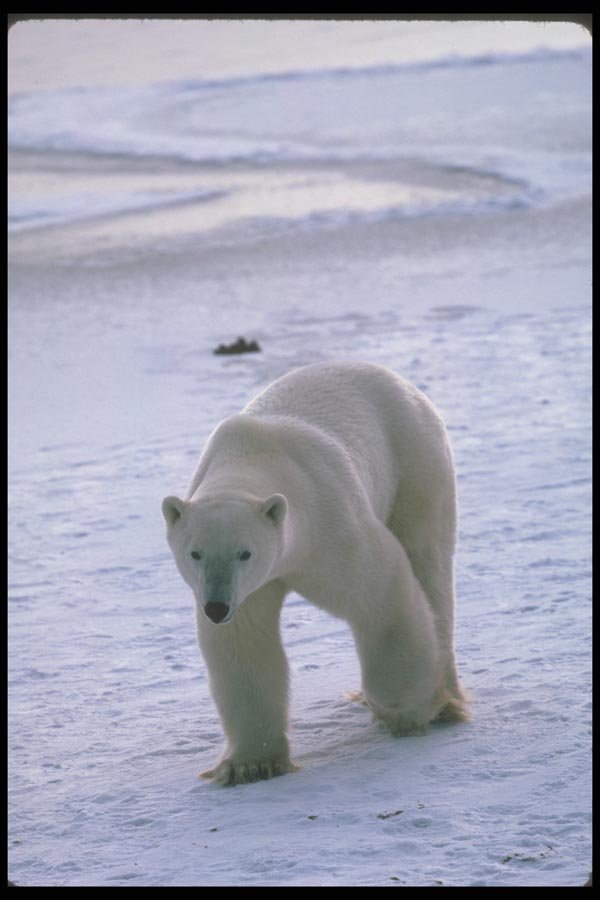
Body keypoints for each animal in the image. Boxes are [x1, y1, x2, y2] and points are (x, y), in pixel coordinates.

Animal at [162, 361, 468, 786]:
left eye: (245, 552)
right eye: (196, 553)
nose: (216, 607)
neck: (257, 455)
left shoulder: (328, 524)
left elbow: (382, 589)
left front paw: (405, 710)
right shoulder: (250, 591)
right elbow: (245, 644)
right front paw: (251, 764)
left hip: (416, 463)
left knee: (427, 563)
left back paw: (446, 701)